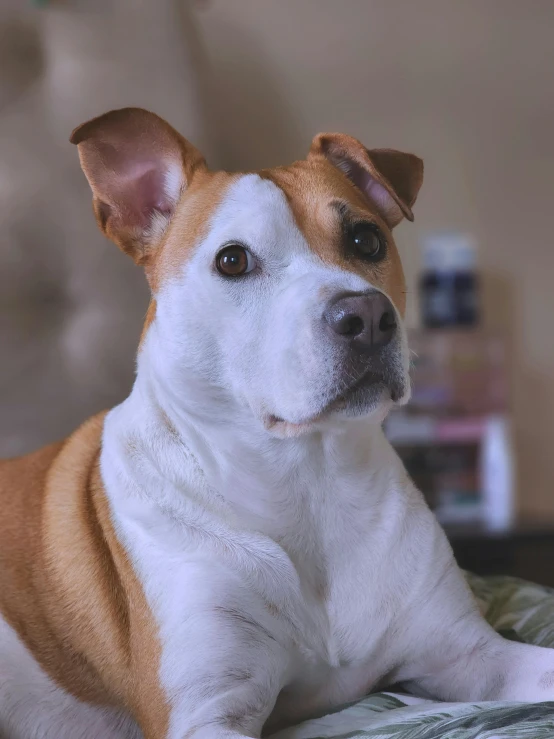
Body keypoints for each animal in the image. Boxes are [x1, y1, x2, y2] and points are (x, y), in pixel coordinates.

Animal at [1, 105, 552, 739]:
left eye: (366, 239)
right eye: (233, 260)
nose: (367, 316)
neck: (308, 478)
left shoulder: (469, 653)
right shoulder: (207, 712)